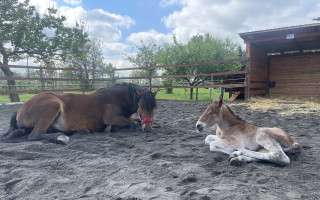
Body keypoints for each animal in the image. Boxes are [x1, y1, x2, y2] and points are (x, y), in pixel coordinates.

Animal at [1, 83, 157, 145]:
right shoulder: (112, 118)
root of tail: (21, 109)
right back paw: (62, 137)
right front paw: (110, 129)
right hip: (52, 105)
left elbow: (135, 121)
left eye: (154, 107)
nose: (148, 129)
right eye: (140, 106)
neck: (116, 98)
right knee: (35, 135)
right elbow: (132, 124)